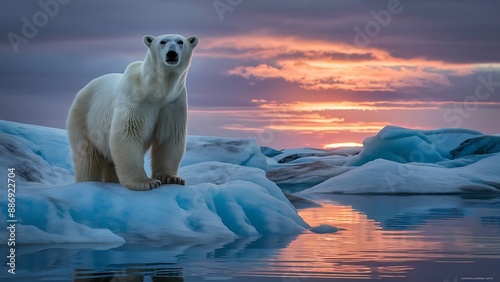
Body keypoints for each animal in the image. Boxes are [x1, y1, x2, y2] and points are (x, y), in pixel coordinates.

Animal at [67, 34, 199, 191]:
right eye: (162, 41)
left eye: (180, 42)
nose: (171, 54)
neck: (156, 90)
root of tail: (83, 89)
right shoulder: (135, 98)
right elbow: (128, 132)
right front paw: (146, 182)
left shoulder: (173, 103)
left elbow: (170, 136)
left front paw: (171, 178)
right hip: (83, 118)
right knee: (87, 155)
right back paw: (87, 181)